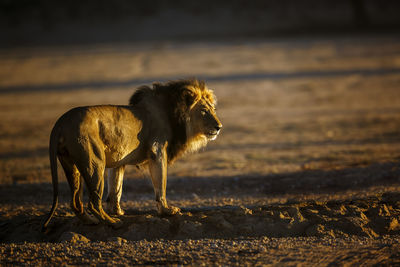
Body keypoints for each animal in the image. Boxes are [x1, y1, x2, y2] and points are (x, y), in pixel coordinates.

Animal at [42, 79, 223, 230]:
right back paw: (112, 223)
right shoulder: (157, 152)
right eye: (204, 111)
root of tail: (61, 122)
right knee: (92, 203)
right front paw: (166, 210)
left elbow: (116, 188)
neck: (172, 114)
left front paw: (117, 210)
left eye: (213, 110)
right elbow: (161, 184)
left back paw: (91, 221)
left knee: (75, 202)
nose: (219, 127)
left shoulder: (118, 162)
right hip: (94, 163)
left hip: (71, 165)